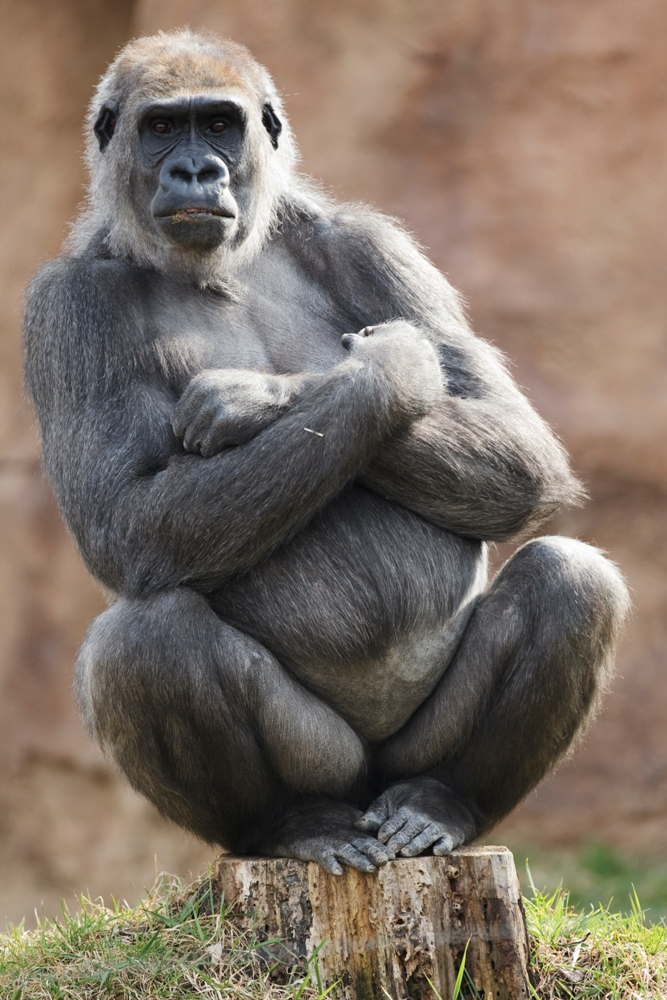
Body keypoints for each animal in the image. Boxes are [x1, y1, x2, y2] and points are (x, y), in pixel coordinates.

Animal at [23, 31, 632, 876]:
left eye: (218, 125)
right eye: (161, 129)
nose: (195, 171)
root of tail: (368, 787)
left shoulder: (369, 243)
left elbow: (516, 443)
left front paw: (274, 393)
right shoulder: (63, 306)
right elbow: (127, 519)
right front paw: (381, 373)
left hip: (404, 757)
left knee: (568, 580)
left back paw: (440, 801)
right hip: (331, 765)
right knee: (143, 641)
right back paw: (291, 822)